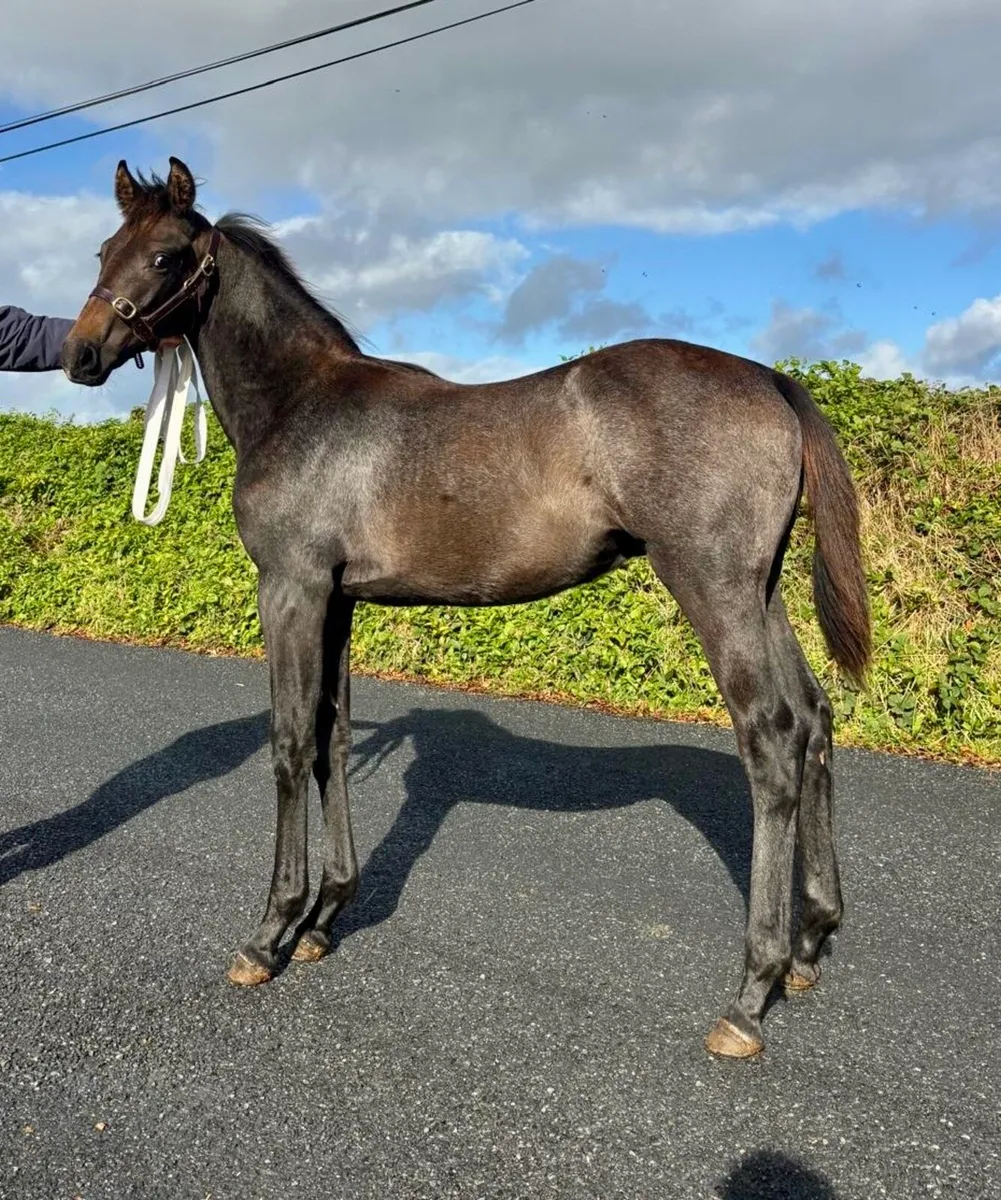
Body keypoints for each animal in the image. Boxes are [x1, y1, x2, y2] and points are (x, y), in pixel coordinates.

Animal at [61, 157, 870, 1059]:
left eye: (166, 255)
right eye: (104, 249)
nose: (81, 353)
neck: (300, 403)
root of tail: (769, 378)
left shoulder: (291, 589)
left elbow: (288, 743)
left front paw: (269, 933)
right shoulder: (337, 600)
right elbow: (331, 739)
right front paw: (325, 918)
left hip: (712, 586)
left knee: (770, 736)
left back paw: (750, 992)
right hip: (761, 592)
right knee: (814, 719)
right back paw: (809, 943)